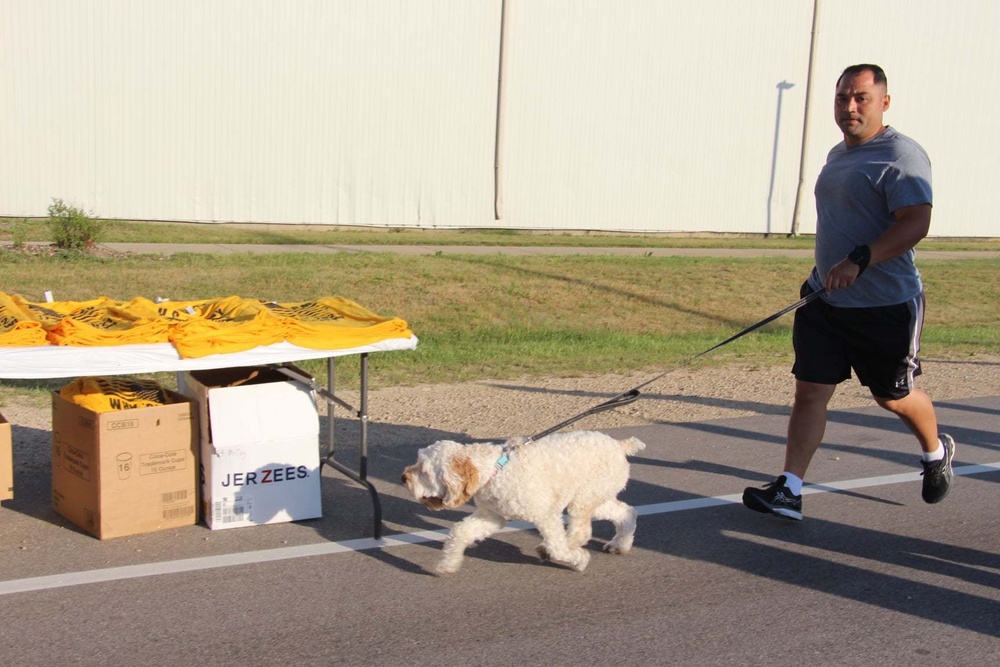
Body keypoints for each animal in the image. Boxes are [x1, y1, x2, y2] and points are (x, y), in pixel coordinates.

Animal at [400, 430, 644, 576]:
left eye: (424, 471)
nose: (403, 478)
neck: (496, 471)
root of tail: (619, 445)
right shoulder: (492, 516)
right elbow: (460, 532)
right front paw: (448, 564)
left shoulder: (546, 515)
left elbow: (558, 547)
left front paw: (578, 560)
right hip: (598, 498)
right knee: (627, 513)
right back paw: (619, 545)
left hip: (584, 499)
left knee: (581, 532)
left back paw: (558, 550)